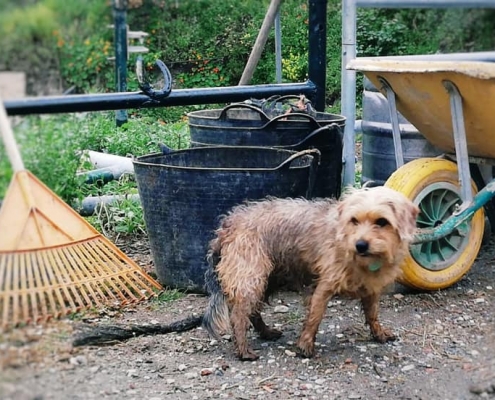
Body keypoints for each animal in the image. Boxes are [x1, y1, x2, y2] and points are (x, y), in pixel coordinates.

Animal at [202, 186, 418, 360]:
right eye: (354, 220)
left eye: (382, 222)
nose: (361, 245)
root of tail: (230, 222)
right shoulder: (323, 286)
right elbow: (314, 317)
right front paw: (305, 346)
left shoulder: (371, 289)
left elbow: (372, 314)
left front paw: (379, 333)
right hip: (251, 277)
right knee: (239, 315)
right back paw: (244, 350)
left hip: (269, 278)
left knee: (253, 311)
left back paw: (266, 332)